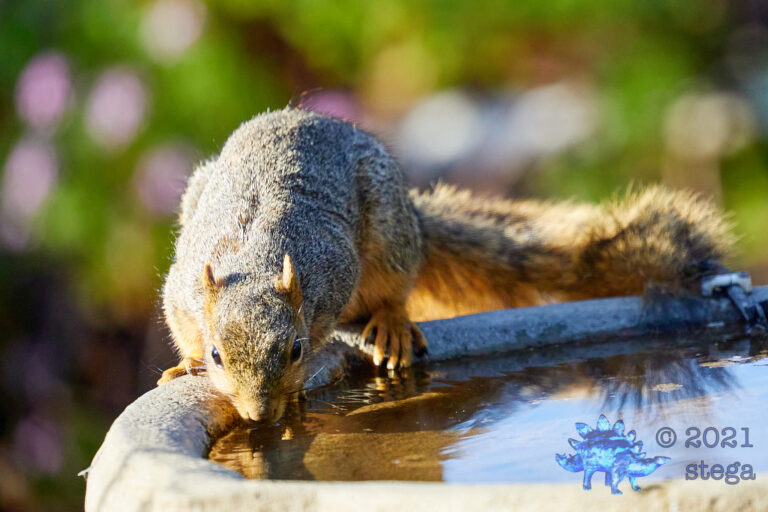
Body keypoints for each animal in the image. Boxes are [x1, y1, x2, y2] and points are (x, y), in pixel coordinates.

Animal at [159, 107, 734, 423]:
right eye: (218, 355)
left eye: (296, 349)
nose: (258, 415)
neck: (253, 259)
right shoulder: (182, 290)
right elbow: (181, 324)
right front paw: (186, 363)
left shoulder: (334, 271)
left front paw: (295, 392)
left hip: (390, 236)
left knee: (393, 290)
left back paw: (390, 325)